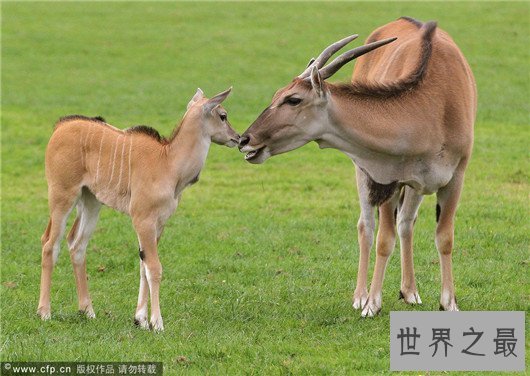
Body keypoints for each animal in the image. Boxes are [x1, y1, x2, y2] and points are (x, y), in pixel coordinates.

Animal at [40, 86, 238, 330]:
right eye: (223, 115)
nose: (238, 138)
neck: (168, 163)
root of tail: (60, 127)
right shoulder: (143, 220)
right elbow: (154, 268)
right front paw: (157, 323)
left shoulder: (158, 224)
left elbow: (143, 266)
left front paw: (141, 320)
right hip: (62, 195)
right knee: (50, 245)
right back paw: (44, 312)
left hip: (91, 201)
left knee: (77, 245)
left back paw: (88, 311)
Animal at [239, 18, 474, 318]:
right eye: (276, 94)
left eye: (292, 99)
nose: (245, 140)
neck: (434, 105)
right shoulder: (388, 177)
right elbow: (383, 240)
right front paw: (372, 304)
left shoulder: (455, 177)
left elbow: (444, 237)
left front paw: (449, 303)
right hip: (364, 172)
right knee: (367, 226)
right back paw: (361, 296)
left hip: (415, 186)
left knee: (406, 223)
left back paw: (409, 291)